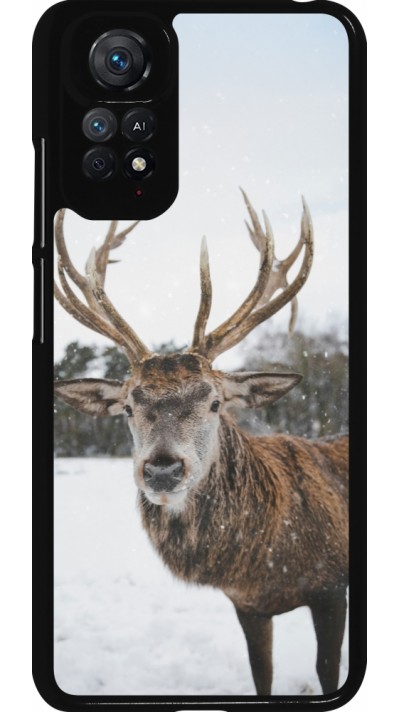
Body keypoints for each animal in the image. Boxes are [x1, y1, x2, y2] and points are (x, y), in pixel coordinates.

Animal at [54, 191, 348, 696]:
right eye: (128, 406)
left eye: (214, 402)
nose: (162, 469)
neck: (266, 563)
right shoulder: (247, 604)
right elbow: (262, 675)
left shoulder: (332, 588)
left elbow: (328, 671)